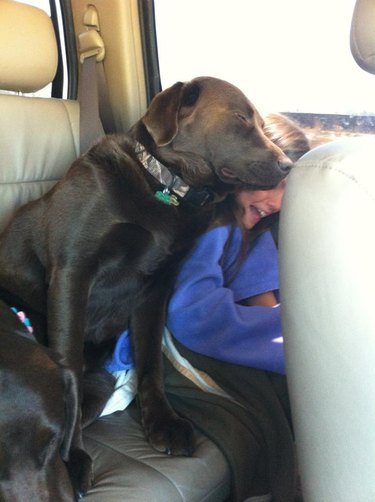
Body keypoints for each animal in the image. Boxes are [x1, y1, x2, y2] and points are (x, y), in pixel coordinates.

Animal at [0, 76, 292, 496]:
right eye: (240, 119)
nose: (288, 166)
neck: (165, 188)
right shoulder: (74, 271)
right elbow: (68, 360)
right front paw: (73, 458)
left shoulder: (156, 287)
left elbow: (150, 358)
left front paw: (162, 422)